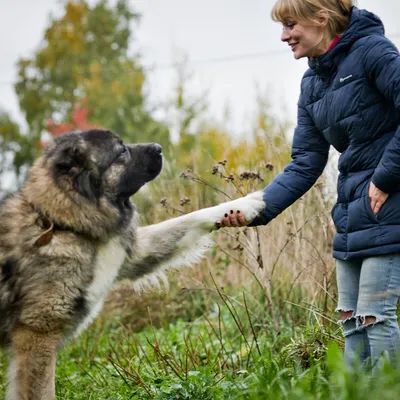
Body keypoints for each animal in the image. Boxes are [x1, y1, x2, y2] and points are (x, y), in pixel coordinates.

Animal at [0, 130, 266, 398]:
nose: (159, 147)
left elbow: (189, 218)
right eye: (121, 151)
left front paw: (244, 204)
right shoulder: (37, 337)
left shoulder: (132, 253)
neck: (64, 225)